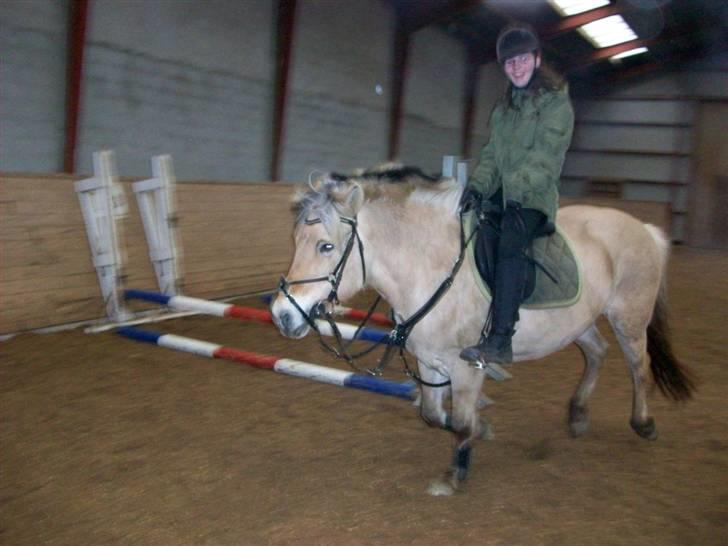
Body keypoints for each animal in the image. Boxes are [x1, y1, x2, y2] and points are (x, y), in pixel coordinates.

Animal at [268, 165, 692, 492]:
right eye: (294, 240)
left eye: (325, 246)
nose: (282, 315)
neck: (431, 267)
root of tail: (645, 228)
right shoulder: (429, 362)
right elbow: (433, 415)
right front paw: (483, 430)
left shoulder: (465, 366)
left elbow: (458, 421)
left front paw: (454, 475)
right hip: (578, 323)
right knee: (597, 353)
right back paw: (577, 415)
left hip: (629, 316)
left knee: (639, 367)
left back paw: (643, 423)